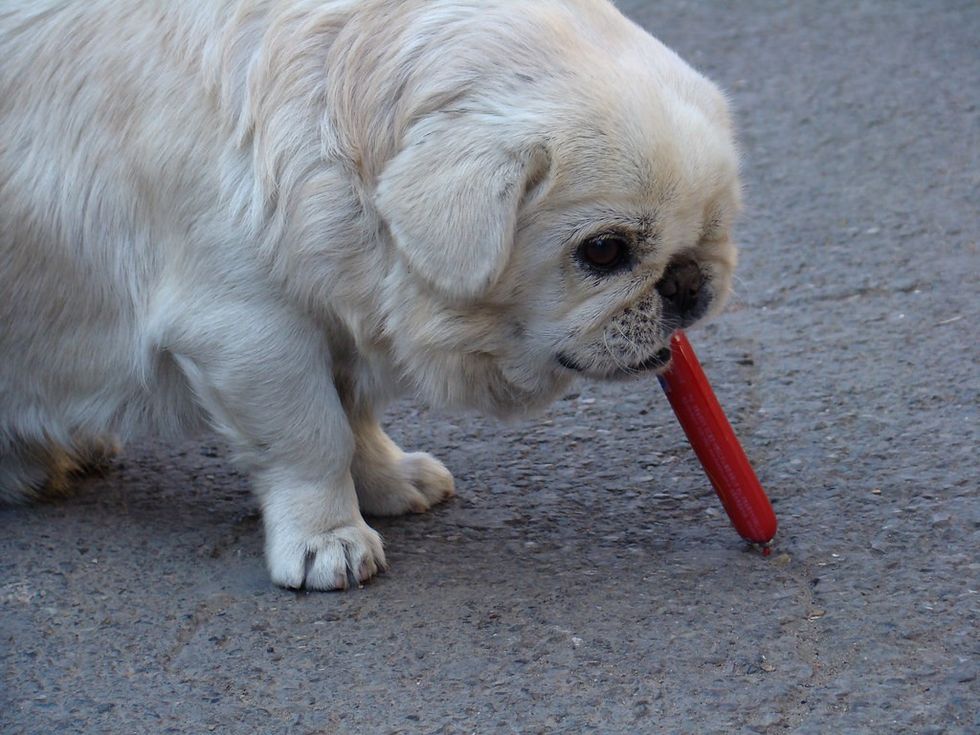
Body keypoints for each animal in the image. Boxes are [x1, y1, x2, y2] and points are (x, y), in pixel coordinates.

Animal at [0, 0, 736, 588]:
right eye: (604, 251)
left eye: (713, 228)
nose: (687, 283)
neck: (329, 131)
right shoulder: (249, 330)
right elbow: (313, 437)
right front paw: (327, 539)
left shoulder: (336, 315)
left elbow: (355, 420)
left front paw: (387, 483)